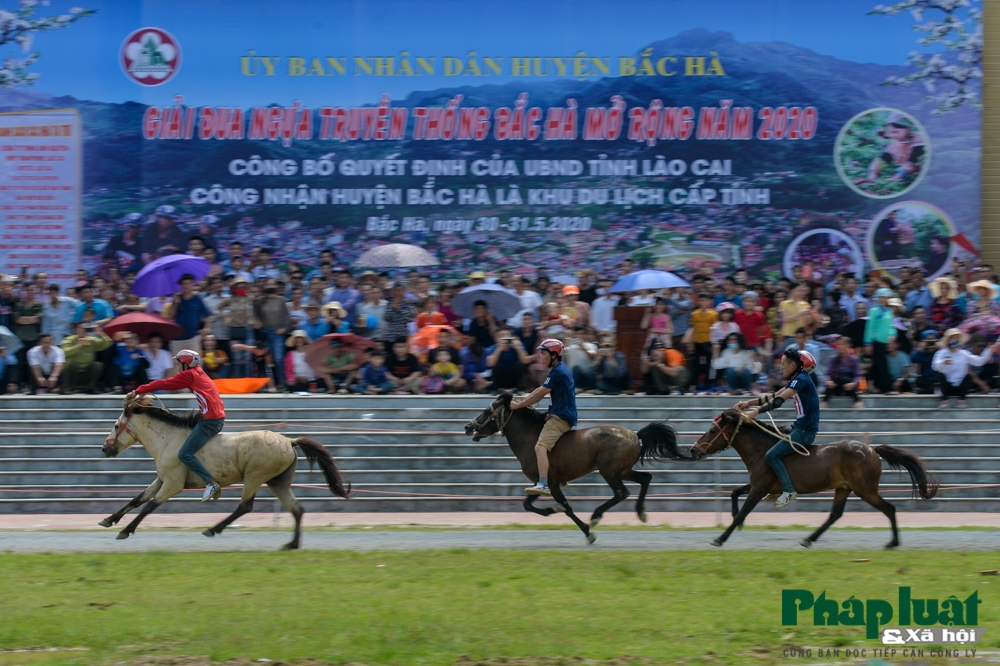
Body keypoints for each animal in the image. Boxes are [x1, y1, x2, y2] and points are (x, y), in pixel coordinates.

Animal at [98, 396, 348, 548]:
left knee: (245, 506)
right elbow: (138, 499)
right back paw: (292, 544)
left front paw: (125, 530)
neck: (168, 439)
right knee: (297, 509)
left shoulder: (173, 484)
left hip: (255, 476)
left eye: (116, 425)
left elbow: (149, 506)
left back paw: (212, 529)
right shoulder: (161, 479)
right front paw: (109, 520)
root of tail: (289, 441)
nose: (104, 448)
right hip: (279, 482)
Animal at [460, 390, 680, 540]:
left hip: (609, 471)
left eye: (486, 411)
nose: (468, 427)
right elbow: (528, 504)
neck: (530, 438)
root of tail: (635, 435)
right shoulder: (542, 483)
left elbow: (566, 506)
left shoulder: (552, 482)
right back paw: (641, 512)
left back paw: (596, 516)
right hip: (622, 470)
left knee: (621, 492)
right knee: (645, 478)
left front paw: (587, 532)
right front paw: (552, 510)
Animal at [688, 408, 936, 548]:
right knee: (835, 514)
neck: (762, 449)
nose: (693, 450)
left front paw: (720, 538)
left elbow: (742, 512)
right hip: (843, 488)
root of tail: (872, 449)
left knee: (889, 509)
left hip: (865, 490)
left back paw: (893, 542)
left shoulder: (759, 488)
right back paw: (809, 539)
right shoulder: (759, 484)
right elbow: (734, 492)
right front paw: (734, 520)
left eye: (712, 431)